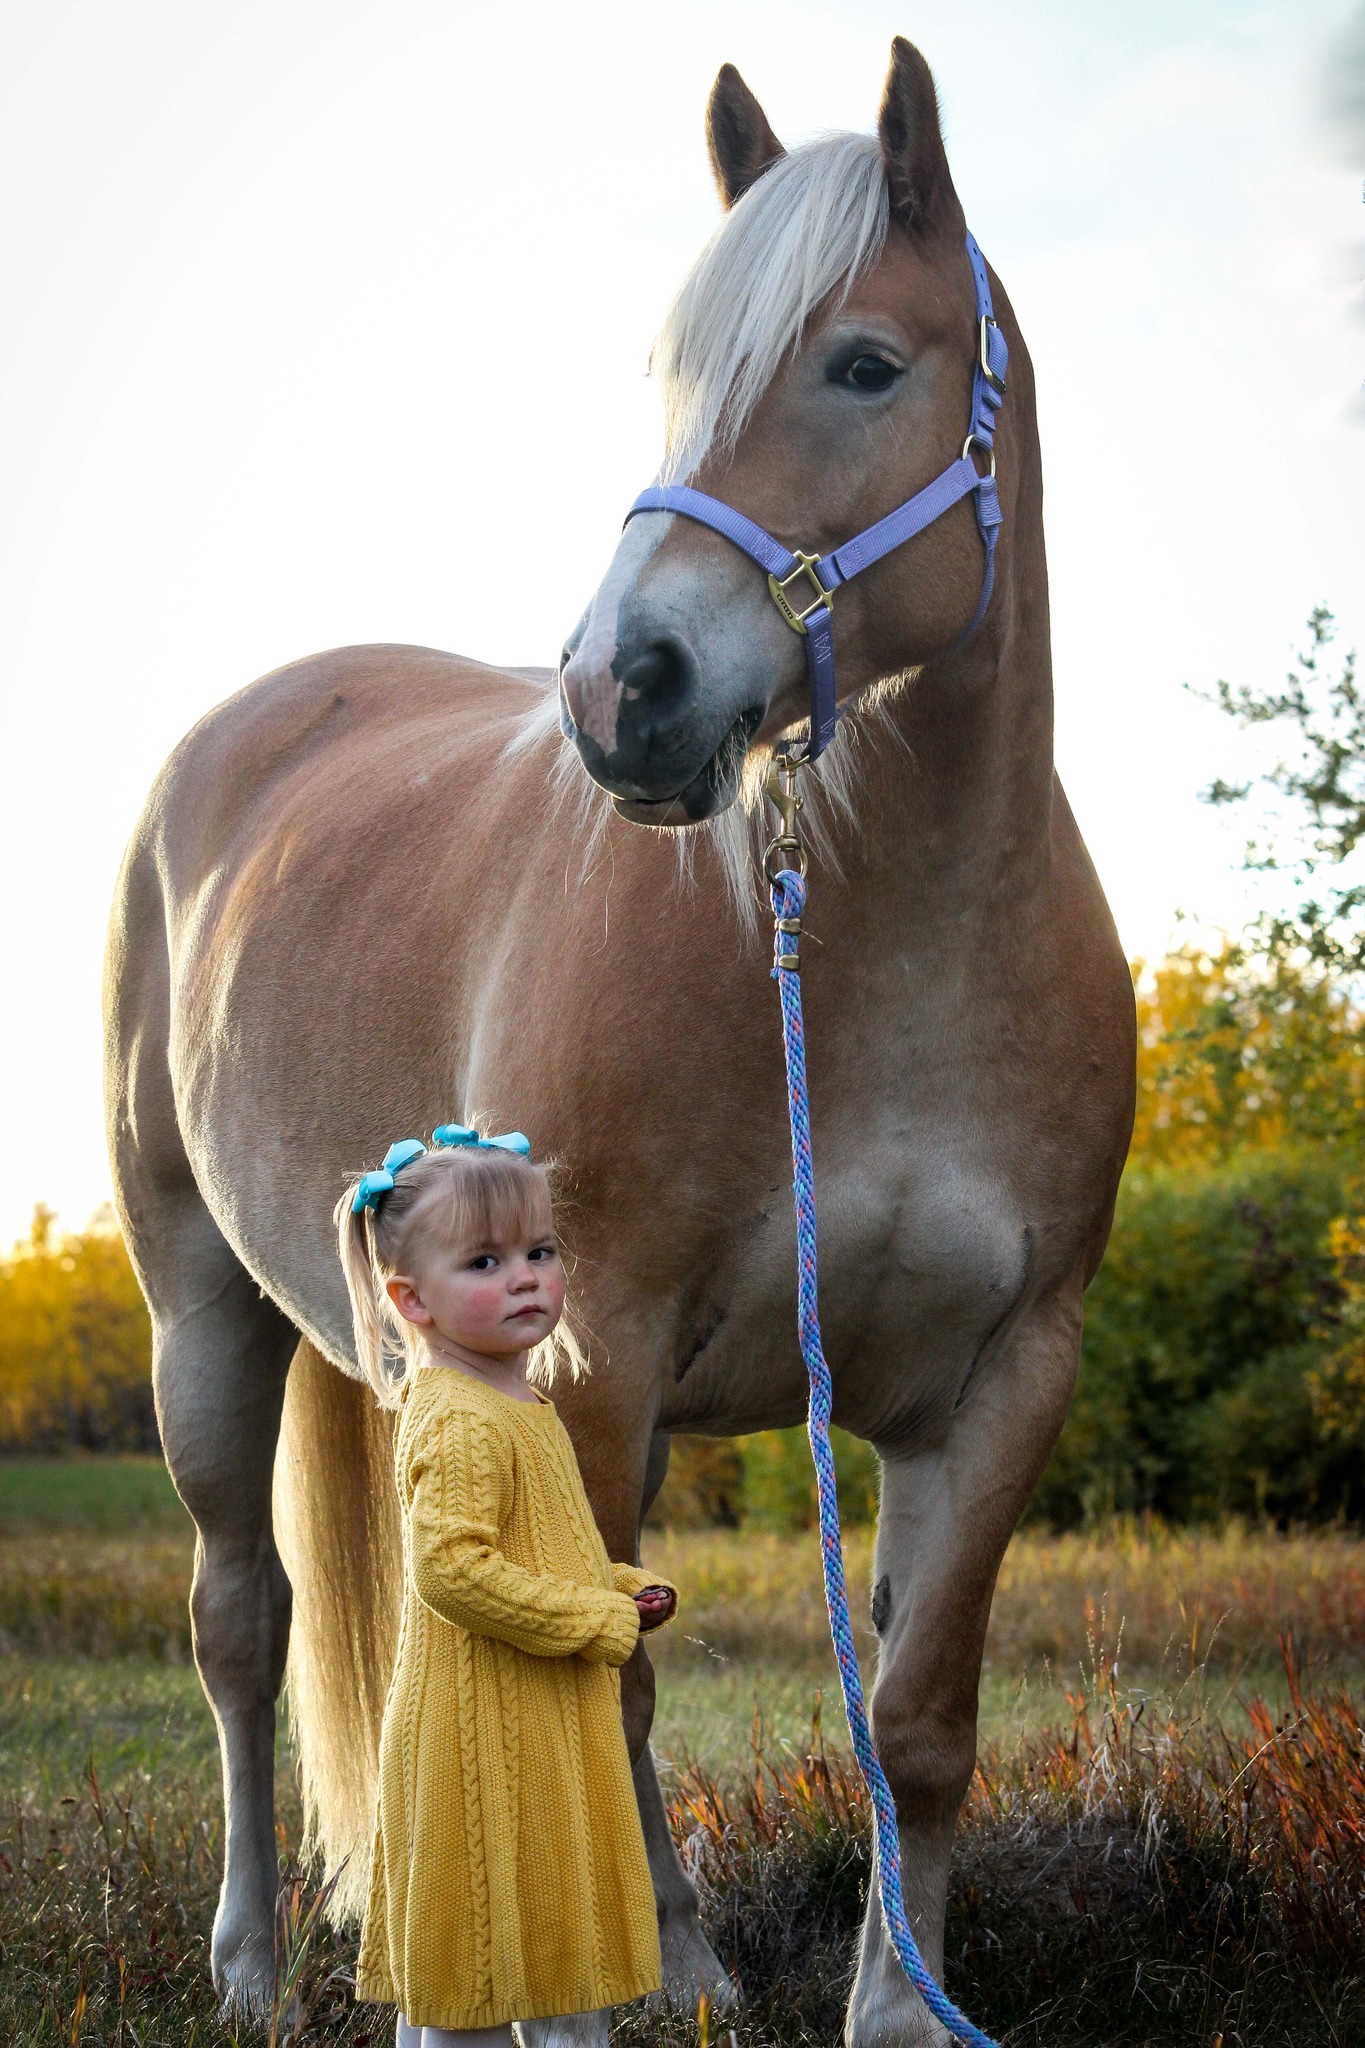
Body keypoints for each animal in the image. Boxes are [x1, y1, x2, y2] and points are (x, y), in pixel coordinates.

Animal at [104, 36, 1129, 2048]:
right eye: (669, 376)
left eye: (865, 364)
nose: (617, 689)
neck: (892, 954)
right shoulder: (592, 1353)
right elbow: (598, 1688)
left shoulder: (1000, 1382)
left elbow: (917, 1717)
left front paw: (898, 2005)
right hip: (205, 1318)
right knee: (242, 1621)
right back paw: (259, 1960)